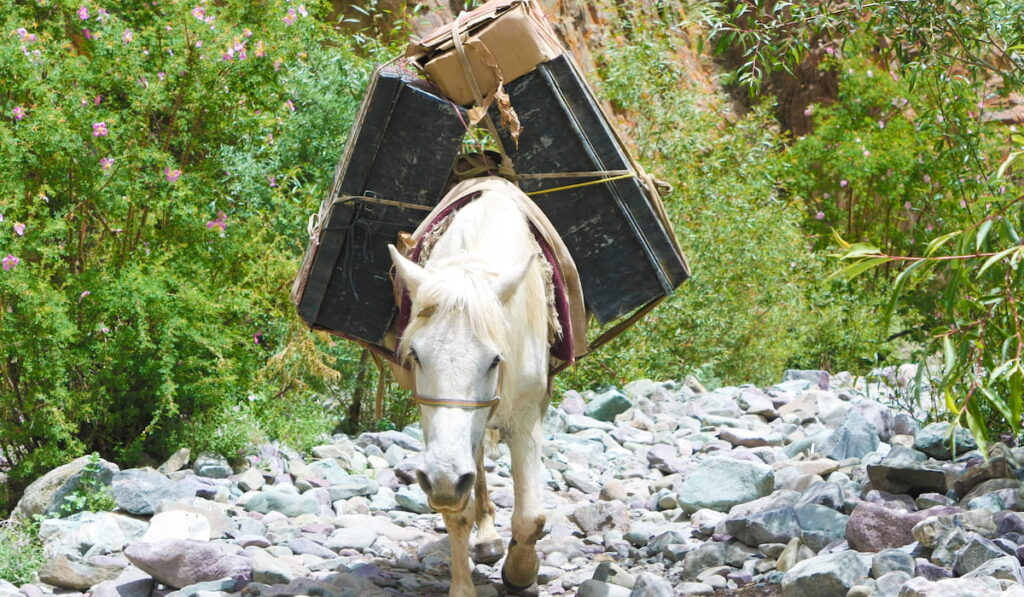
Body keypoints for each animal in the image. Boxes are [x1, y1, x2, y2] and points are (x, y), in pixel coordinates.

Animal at [389, 177, 552, 597]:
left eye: (495, 359)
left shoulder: (527, 415)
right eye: (415, 355)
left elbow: (530, 516)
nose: (445, 481)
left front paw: (521, 572)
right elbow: (458, 512)